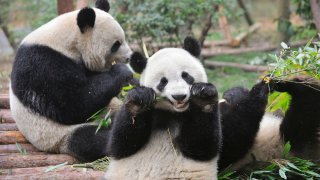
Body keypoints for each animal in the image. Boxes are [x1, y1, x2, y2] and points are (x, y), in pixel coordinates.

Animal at [9, 0, 132, 162]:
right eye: (116, 45)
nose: (129, 56)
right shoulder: (43, 64)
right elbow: (75, 104)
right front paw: (122, 71)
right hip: (57, 136)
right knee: (91, 138)